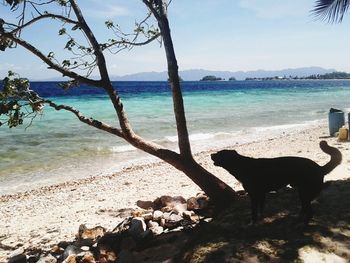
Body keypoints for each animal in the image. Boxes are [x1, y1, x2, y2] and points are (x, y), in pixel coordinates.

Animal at [211, 141, 342, 226]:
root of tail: (320, 168)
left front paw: (252, 222)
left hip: (304, 193)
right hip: (302, 193)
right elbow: (261, 209)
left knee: (310, 212)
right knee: (305, 209)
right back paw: (298, 219)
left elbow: (254, 212)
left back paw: (302, 224)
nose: (211, 154)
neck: (242, 166)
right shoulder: (261, 195)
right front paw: (261, 219)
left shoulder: (254, 195)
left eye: (219, 153)